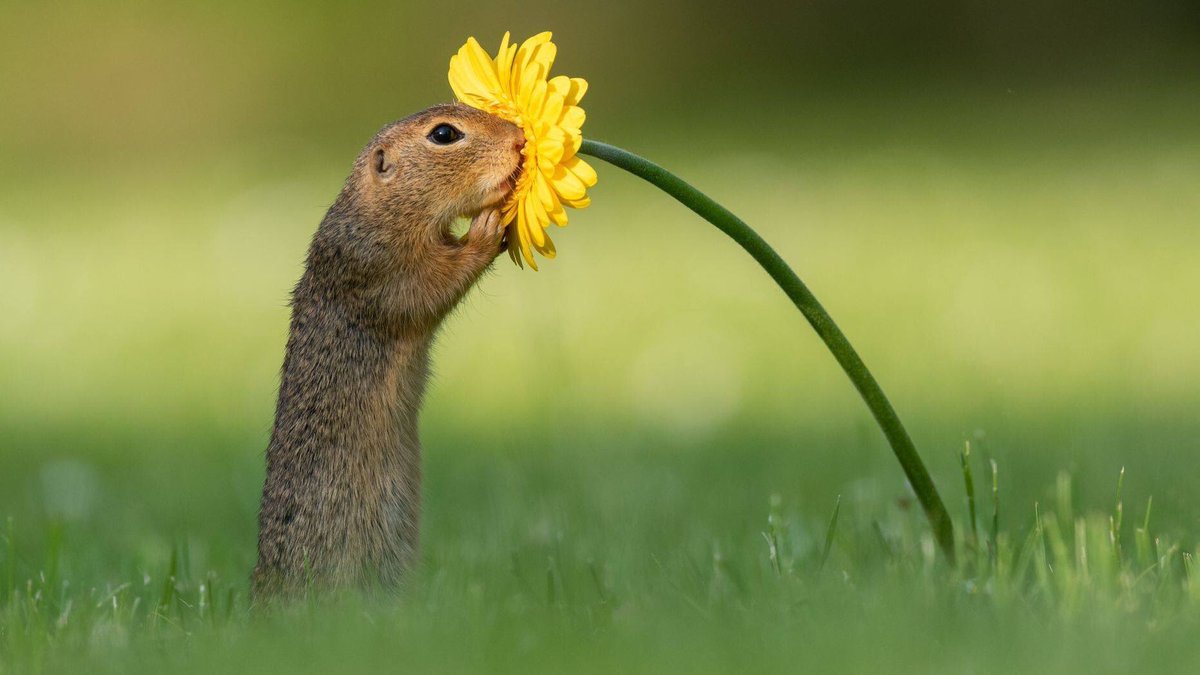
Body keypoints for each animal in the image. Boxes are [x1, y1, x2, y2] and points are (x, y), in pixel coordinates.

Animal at [252, 103, 524, 597]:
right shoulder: (382, 267)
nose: (519, 139)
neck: (379, 208)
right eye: (444, 134)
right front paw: (488, 227)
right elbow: (434, 284)